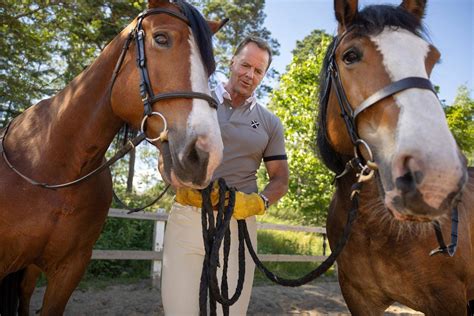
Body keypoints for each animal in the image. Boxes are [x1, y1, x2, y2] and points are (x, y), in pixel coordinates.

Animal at [318, 0, 474, 314]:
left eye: (431, 59)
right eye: (350, 56)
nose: (438, 177)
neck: (374, 227)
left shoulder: (449, 301)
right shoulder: (359, 298)